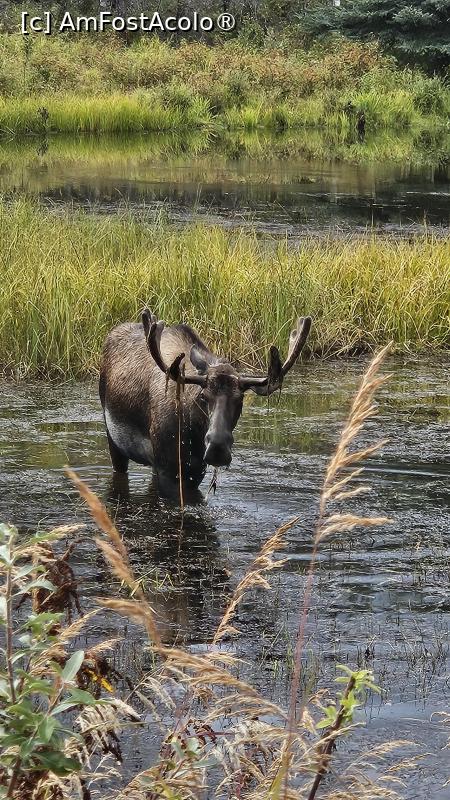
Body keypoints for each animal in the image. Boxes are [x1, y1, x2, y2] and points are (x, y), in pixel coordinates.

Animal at [99, 311, 311, 488]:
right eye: (203, 396)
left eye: (240, 398)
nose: (217, 448)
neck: (191, 432)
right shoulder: (164, 467)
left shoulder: (194, 471)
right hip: (113, 438)